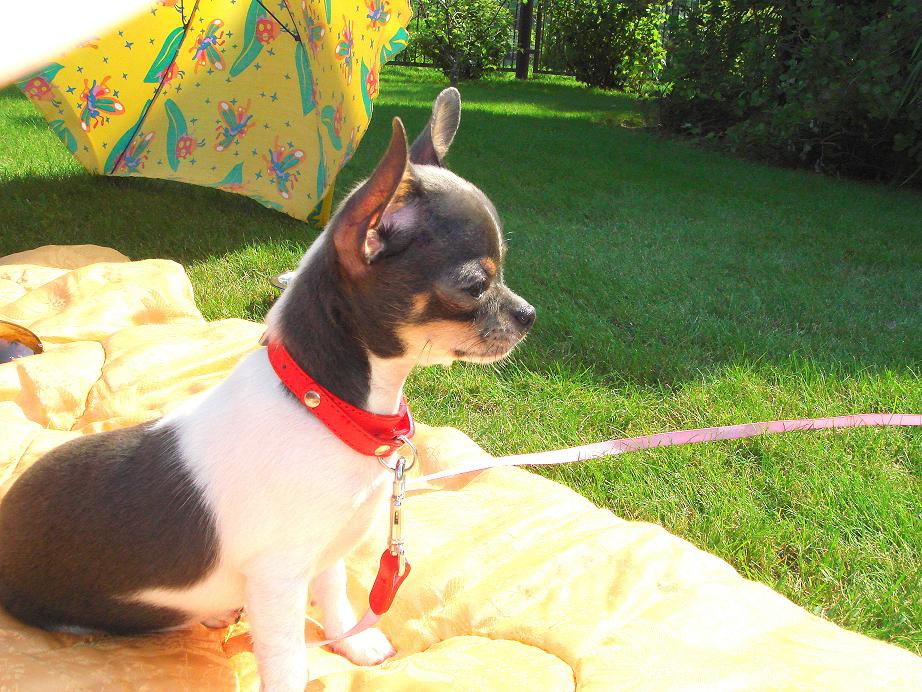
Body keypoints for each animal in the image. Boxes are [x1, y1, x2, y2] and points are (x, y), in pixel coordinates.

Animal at [0, 87, 535, 690]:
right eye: (474, 285)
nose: (528, 316)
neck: (329, 410)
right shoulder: (278, 581)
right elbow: (285, 661)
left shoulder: (324, 555)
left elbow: (335, 599)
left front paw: (355, 644)